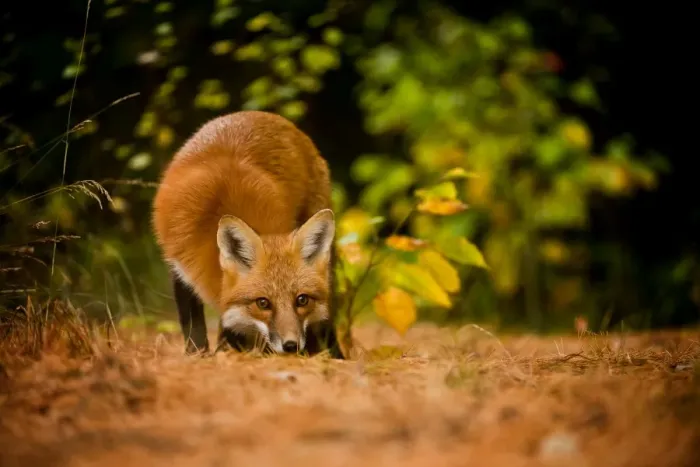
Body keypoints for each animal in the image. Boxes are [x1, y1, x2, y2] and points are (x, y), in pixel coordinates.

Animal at [151, 110, 344, 359]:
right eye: (263, 303)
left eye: (301, 300)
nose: (291, 345)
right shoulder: (180, 271)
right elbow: (194, 326)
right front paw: (198, 355)